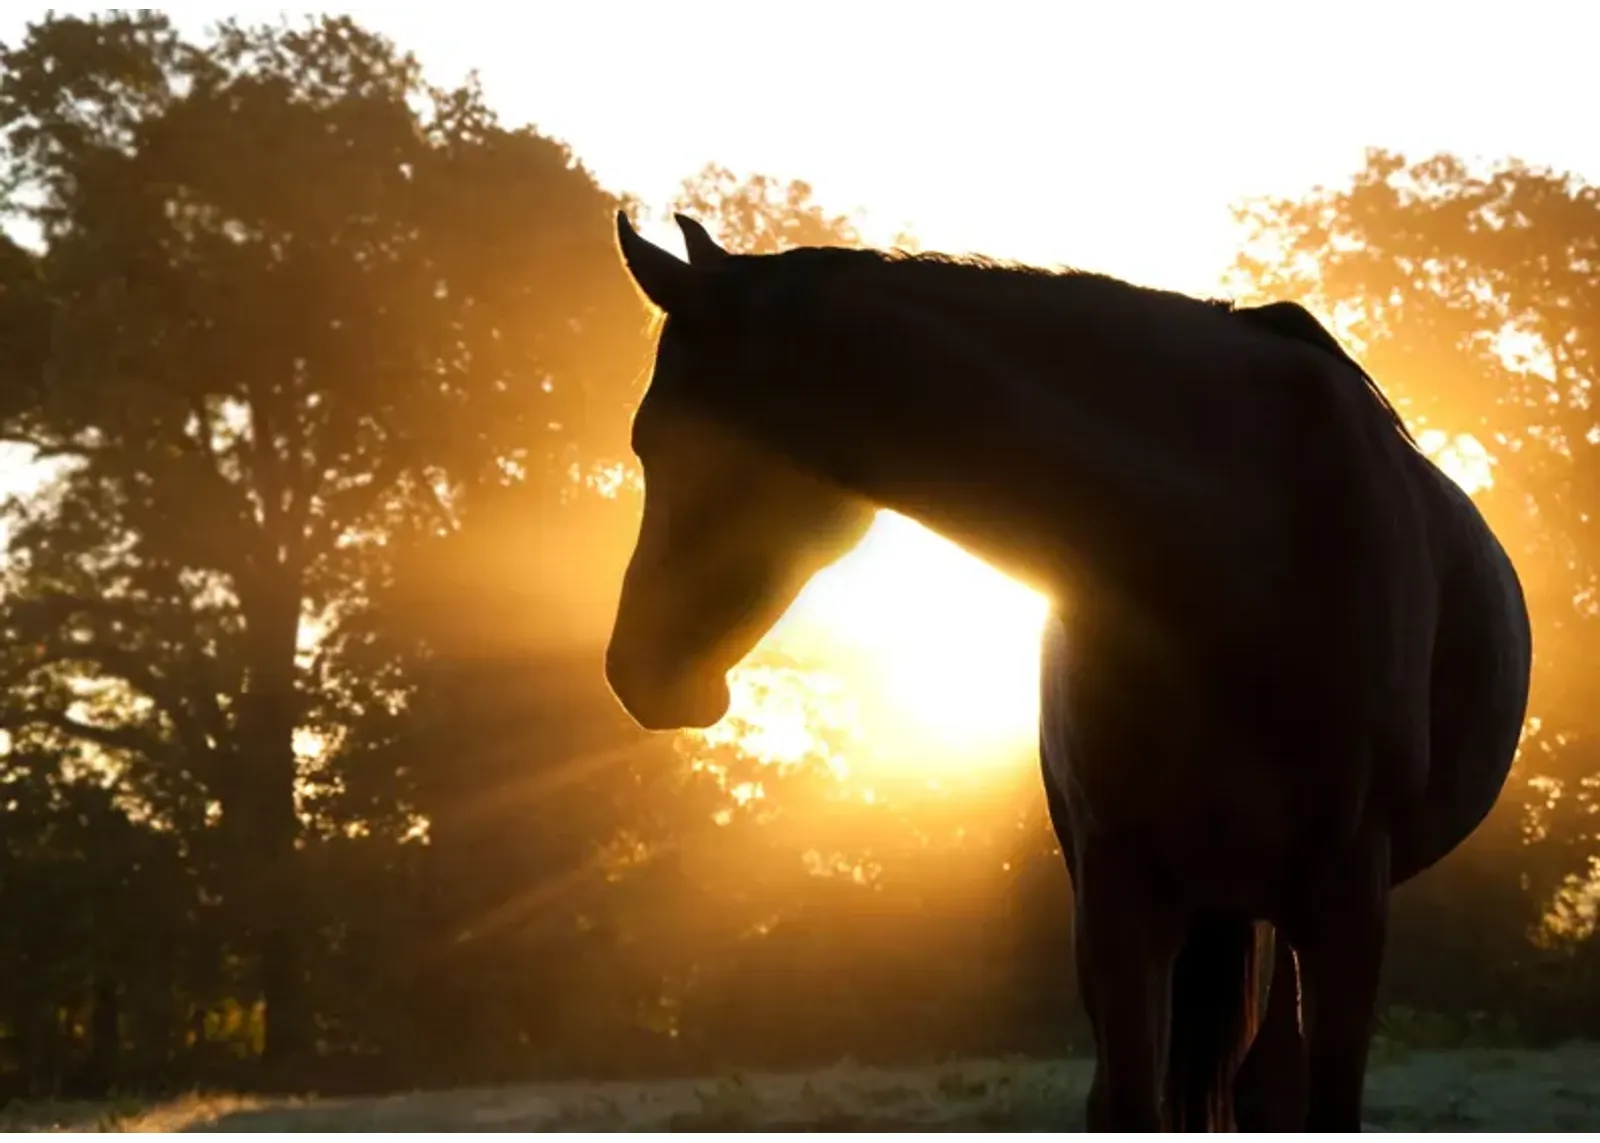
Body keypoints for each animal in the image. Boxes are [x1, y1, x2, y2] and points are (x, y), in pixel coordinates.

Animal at [601, 209, 1536, 1126]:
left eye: (660, 439)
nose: (633, 669)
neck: (1245, 552)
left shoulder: (1347, 898)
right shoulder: (1117, 888)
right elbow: (1128, 1100)